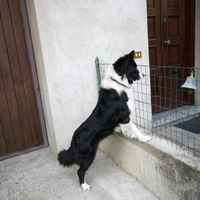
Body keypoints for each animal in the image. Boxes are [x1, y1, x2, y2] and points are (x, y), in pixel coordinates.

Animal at [58, 50, 152, 191]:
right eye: (135, 68)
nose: (144, 74)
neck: (118, 81)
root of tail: (74, 140)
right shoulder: (125, 116)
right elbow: (134, 128)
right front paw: (143, 138)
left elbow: (129, 128)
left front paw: (127, 133)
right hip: (89, 156)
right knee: (80, 171)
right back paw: (84, 186)